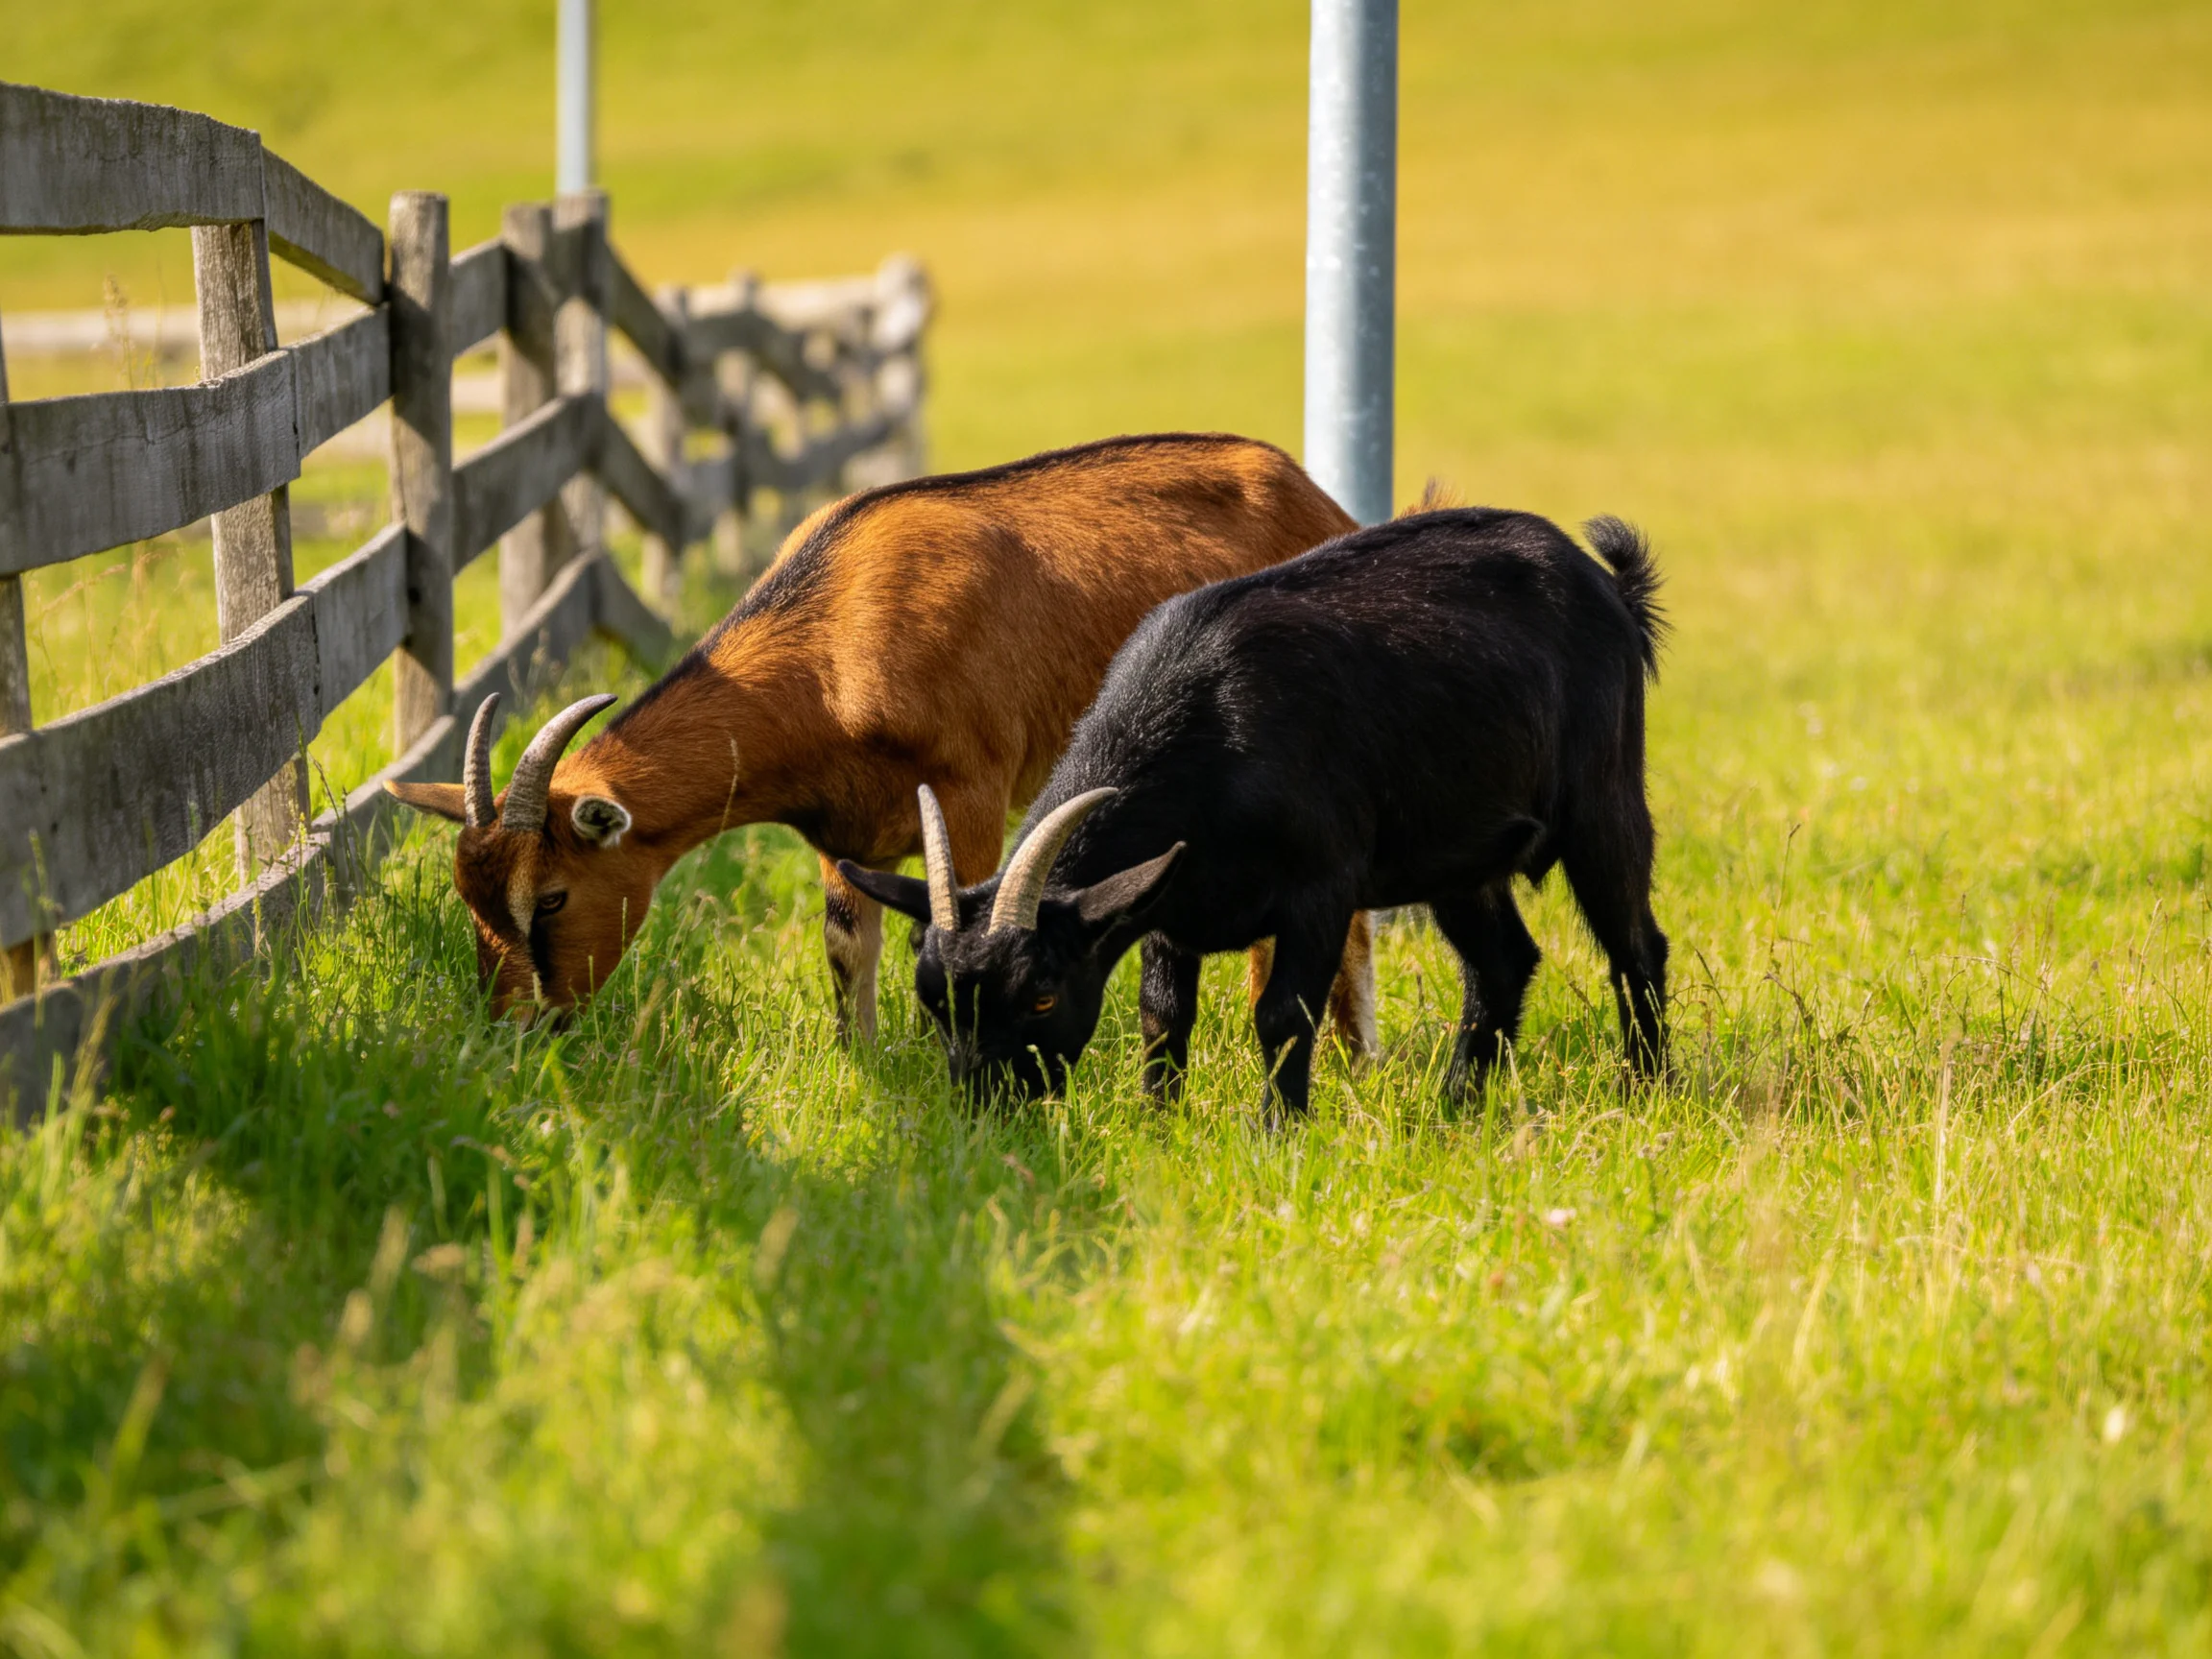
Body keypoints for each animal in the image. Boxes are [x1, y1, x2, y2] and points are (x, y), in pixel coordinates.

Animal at [386, 433, 1378, 1049]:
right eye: (468, 896)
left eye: (550, 897)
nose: (513, 1029)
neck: (834, 639)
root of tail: (1320, 500)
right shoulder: (841, 833)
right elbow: (844, 951)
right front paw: (863, 1065)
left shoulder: (973, 796)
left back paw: (1354, 1055)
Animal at [841, 505, 1670, 1116]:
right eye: (933, 1000)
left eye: (1042, 994)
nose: (985, 1114)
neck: (1212, 720)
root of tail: (1609, 589)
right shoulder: (1166, 900)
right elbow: (1160, 1016)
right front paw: (1159, 1125)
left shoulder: (1321, 887)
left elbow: (1282, 1014)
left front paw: (1280, 1134)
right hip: (1459, 856)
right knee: (1502, 963)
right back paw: (1457, 1106)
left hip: (1603, 800)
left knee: (1636, 946)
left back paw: (1645, 1091)